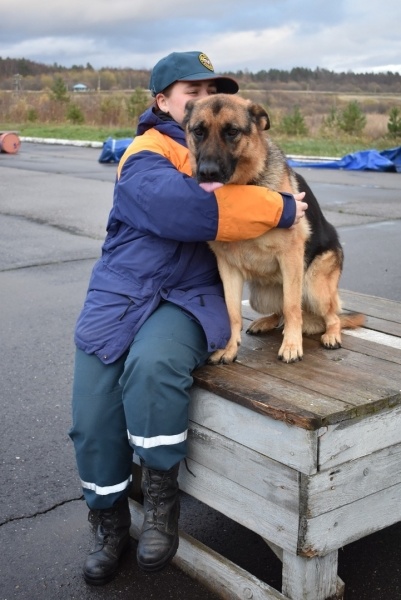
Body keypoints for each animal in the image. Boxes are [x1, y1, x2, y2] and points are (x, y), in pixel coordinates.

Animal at [183, 95, 364, 366]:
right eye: (198, 131)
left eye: (232, 132)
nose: (207, 172)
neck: (242, 192)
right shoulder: (228, 267)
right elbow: (232, 312)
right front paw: (229, 348)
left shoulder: (290, 257)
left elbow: (291, 307)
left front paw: (291, 346)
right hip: (260, 297)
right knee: (279, 311)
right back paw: (265, 322)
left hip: (313, 286)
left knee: (332, 316)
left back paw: (331, 335)